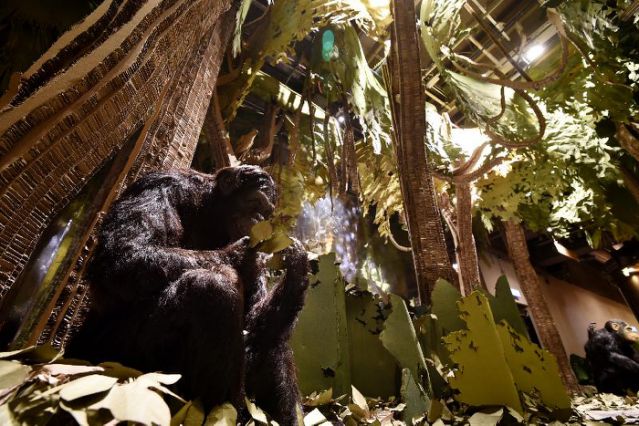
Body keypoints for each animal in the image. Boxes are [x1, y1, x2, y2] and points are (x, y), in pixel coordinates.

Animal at [67, 165, 310, 424]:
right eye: (255, 202)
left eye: (265, 213)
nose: (258, 221)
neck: (208, 214)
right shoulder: (159, 186)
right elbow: (123, 254)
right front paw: (240, 256)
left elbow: (252, 321)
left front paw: (298, 265)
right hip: (123, 358)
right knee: (209, 287)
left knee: (271, 338)